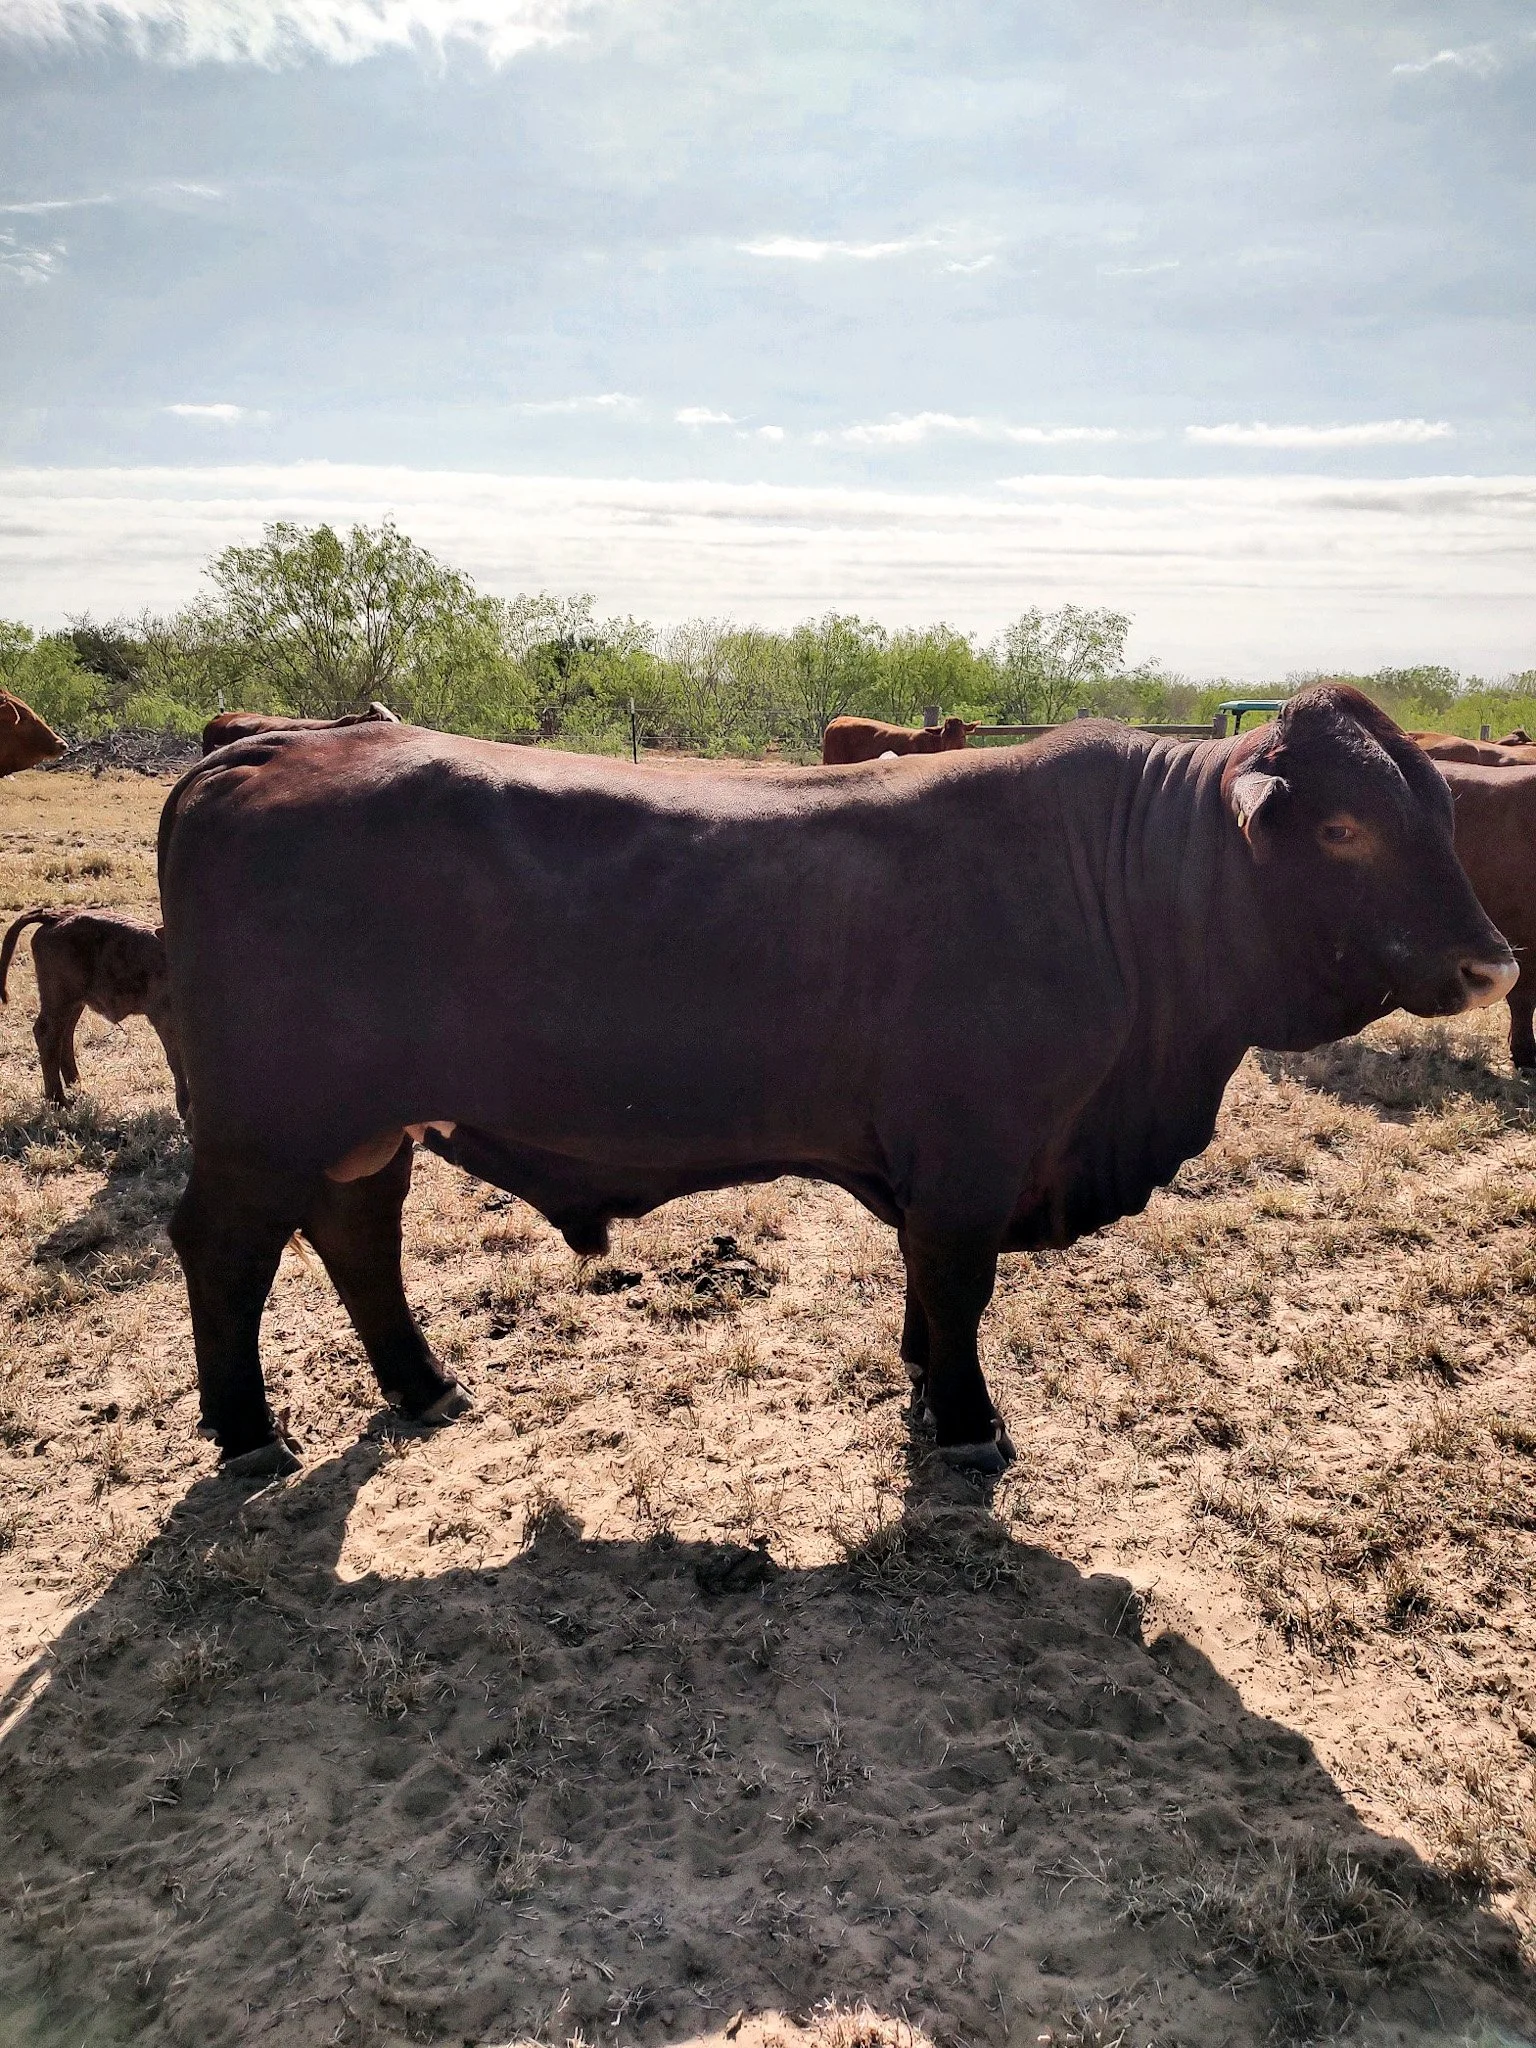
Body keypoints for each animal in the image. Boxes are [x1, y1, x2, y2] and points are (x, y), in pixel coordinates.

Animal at [0, 909, 185, 1108]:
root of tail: (55, 917)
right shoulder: (163, 1019)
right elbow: (177, 1062)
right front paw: (184, 1107)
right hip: (60, 998)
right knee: (47, 1034)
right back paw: (59, 1100)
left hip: (75, 1002)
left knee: (65, 1035)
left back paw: (78, 1087)